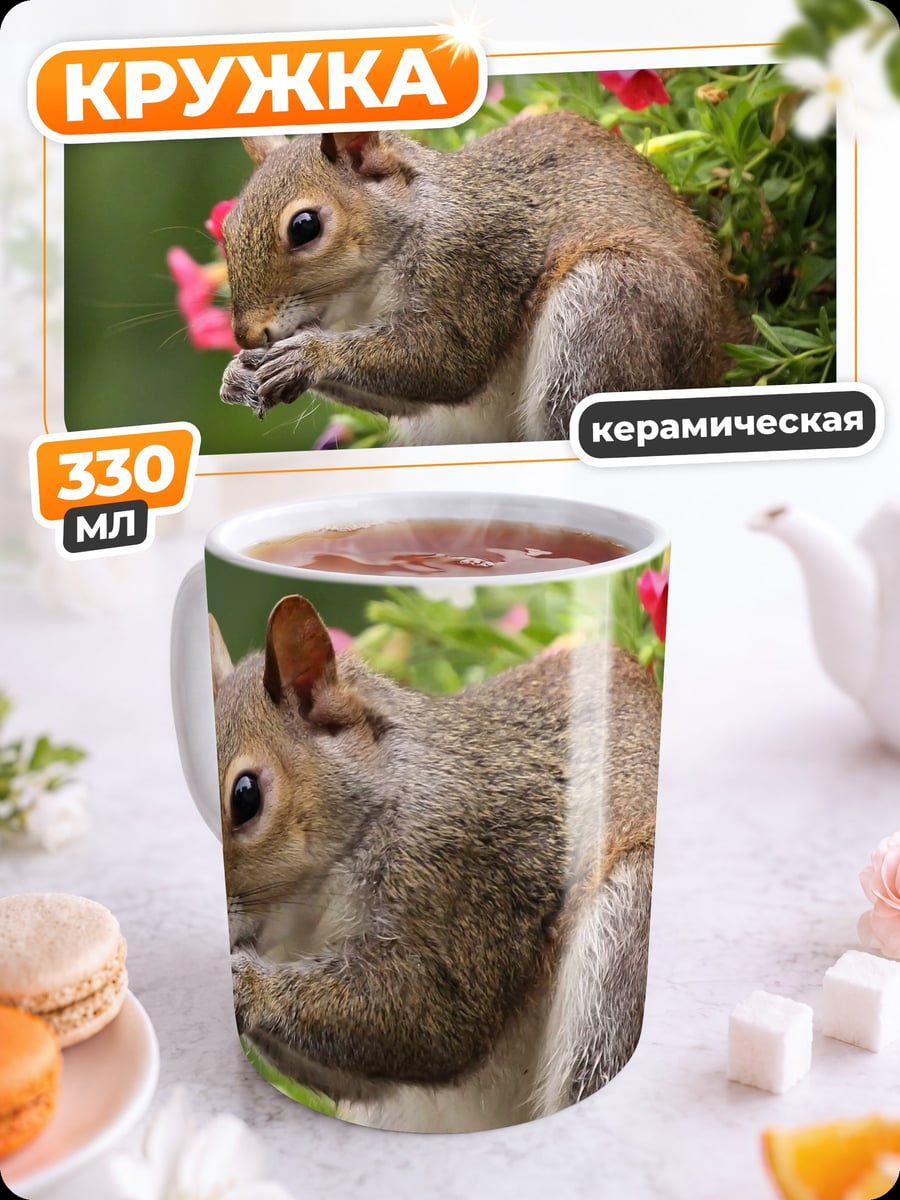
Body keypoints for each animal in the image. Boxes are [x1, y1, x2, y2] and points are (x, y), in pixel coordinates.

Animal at [218, 111, 747, 447]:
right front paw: (238, 374)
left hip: (609, 308)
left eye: (305, 226)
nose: (247, 334)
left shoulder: (474, 261)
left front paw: (308, 357)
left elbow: (450, 361)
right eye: (227, 226)